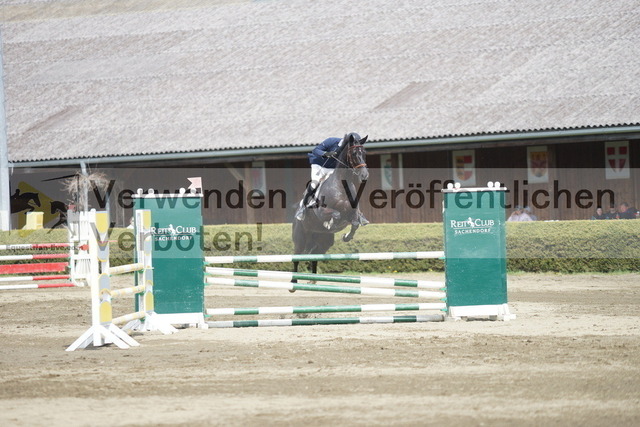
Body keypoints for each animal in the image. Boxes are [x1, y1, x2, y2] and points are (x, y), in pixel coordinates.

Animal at [292, 133, 369, 278]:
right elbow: (336, 214)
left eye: (364, 153)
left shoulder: (353, 213)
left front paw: (346, 237)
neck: (342, 186)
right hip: (300, 238)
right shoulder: (322, 212)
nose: (365, 175)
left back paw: (312, 280)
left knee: (314, 255)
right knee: (296, 257)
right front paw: (330, 224)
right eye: (354, 153)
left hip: (324, 241)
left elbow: (355, 223)